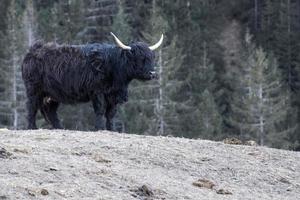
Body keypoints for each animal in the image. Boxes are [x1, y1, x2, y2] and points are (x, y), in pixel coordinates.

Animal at [22, 32, 164, 130]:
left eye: (151, 58)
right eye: (139, 59)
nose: (152, 73)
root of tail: (33, 51)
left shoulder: (113, 95)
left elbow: (111, 113)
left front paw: (111, 129)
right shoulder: (97, 92)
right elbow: (100, 110)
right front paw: (99, 128)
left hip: (53, 94)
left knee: (50, 111)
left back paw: (60, 128)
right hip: (34, 89)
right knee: (31, 106)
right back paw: (32, 127)